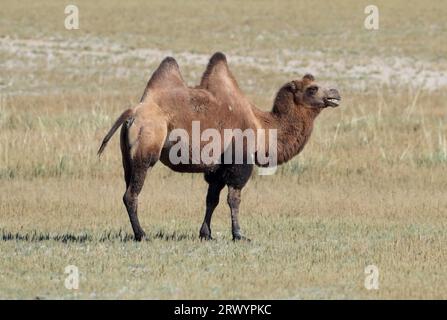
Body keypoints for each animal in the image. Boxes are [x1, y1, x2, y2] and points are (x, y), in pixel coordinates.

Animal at [99, 52, 344, 241]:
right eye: (313, 88)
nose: (335, 92)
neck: (262, 126)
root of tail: (132, 113)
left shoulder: (217, 168)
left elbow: (212, 200)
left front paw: (206, 234)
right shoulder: (239, 163)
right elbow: (233, 199)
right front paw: (239, 235)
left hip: (127, 157)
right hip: (146, 148)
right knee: (131, 194)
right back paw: (142, 235)